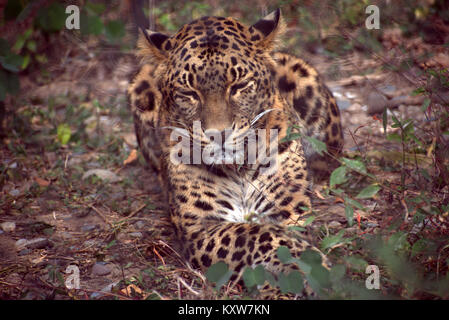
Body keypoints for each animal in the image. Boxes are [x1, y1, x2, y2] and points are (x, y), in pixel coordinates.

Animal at [128, 8, 344, 298]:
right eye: (189, 92)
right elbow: (255, 235)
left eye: (239, 86)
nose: (218, 135)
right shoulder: (201, 228)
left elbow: (279, 236)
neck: (238, 169)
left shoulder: (288, 211)